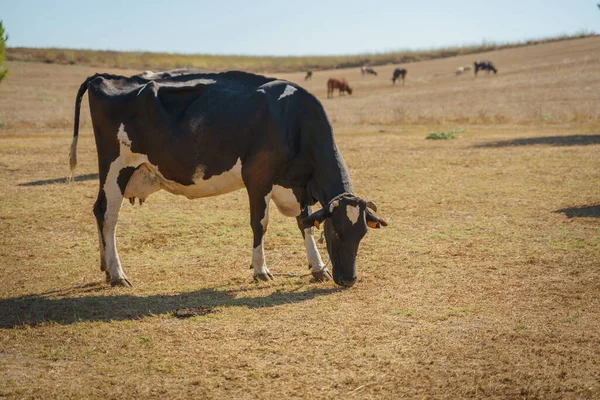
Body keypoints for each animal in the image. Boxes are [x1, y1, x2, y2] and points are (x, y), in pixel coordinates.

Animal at [71, 71, 390, 288]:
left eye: (363, 233)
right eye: (336, 232)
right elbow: (260, 223)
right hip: (116, 167)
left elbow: (306, 223)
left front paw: (318, 267)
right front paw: (261, 270)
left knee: (98, 211)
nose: (349, 279)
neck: (293, 119)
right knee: (108, 216)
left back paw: (105, 266)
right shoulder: (258, 177)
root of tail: (104, 77)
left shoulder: (297, 185)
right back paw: (117, 273)